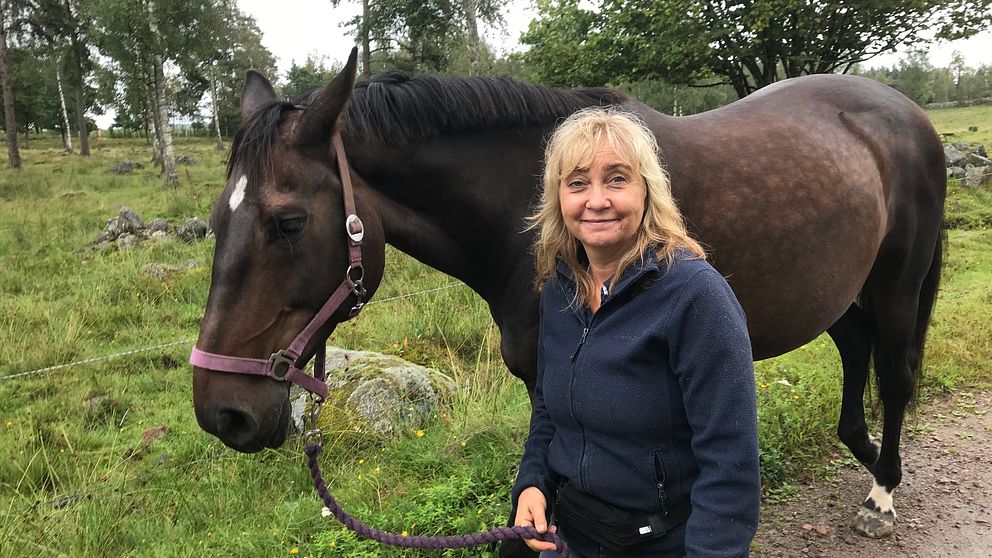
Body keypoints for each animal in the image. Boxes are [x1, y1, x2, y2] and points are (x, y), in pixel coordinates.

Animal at [192, 50, 944, 556]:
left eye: (288, 222)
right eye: (217, 220)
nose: (222, 413)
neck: (528, 216)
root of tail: (904, 109)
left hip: (898, 282)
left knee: (896, 374)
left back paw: (882, 493)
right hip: (839, 291)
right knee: (857, 351)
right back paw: (864, 453)